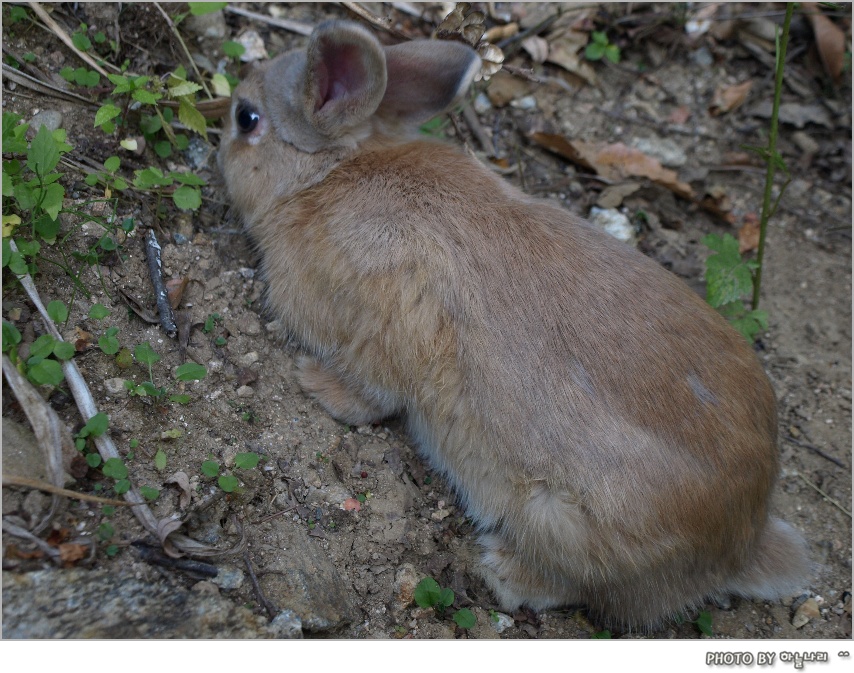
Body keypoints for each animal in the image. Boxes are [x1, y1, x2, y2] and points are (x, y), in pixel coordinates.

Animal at [217, 21, 812, 632]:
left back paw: (504, 572)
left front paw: (314, 382)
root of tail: (740, 548)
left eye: (247, 119)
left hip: (557, 521)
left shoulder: (379, 325)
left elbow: (372, 393)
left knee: (584, 589)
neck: (325, 175)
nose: (221, 134)